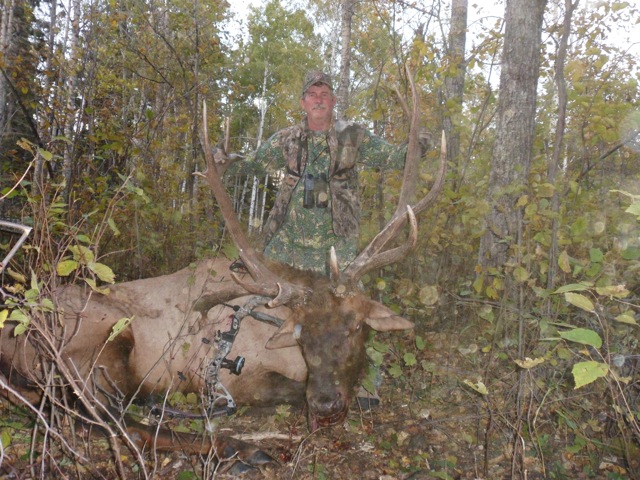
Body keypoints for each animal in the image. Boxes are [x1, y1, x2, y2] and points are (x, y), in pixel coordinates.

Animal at [0, 72, 445, 474]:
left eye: (355, 327)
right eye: (303, 336)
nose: (326, 407)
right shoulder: (237, 380)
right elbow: (293, 391)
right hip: (95, 343)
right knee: (105, 421)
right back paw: (241, 449)